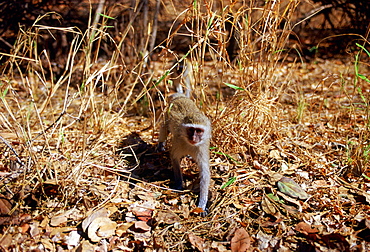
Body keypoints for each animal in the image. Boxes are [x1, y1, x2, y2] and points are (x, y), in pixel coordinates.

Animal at [158, 60, 211, 216]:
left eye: (199, 131)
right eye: (191, 130)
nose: (193, 137)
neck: (190, 144)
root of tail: (180, 97)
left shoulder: (202, 146)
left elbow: (205, 173)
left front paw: (202, 204)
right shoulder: (178, 142)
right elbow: (174, 158)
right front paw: (179, 184)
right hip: (167, 113)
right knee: (164, 127)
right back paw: (161, 143)